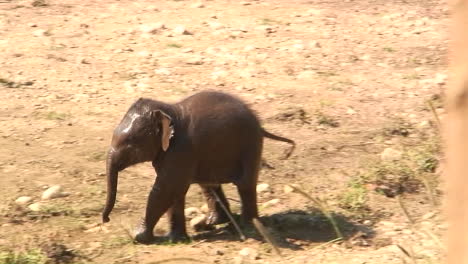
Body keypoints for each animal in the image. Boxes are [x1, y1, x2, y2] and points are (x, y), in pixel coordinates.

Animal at [102, 91, 294, 243]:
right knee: (209, 184)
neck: (168, 112)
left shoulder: (181, 149)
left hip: (250, 146)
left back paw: (248, 226)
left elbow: (166, 189)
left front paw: (138, 237)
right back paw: (212, 223)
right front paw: (175, 239)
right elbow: (174, 191)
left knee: (245, 184)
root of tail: (261, 126)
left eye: (129, 143)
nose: (107, 220)